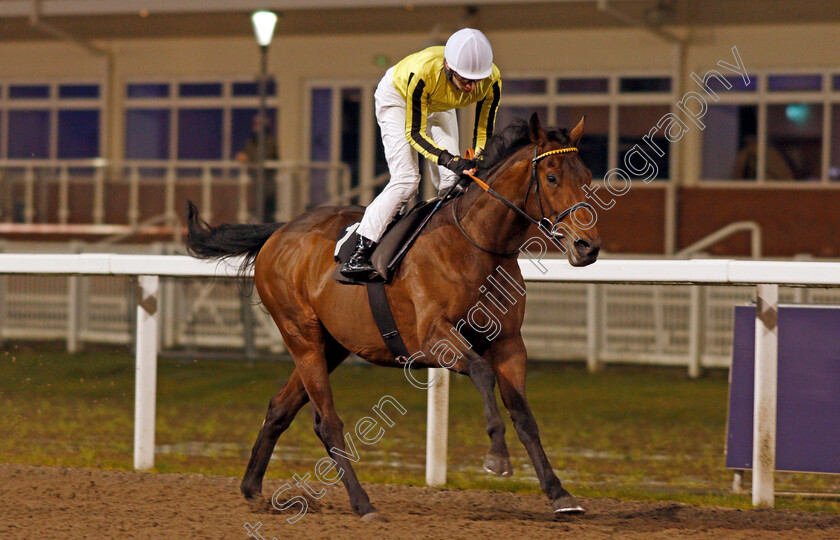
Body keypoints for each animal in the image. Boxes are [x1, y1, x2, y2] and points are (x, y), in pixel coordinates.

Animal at [187, 113, 600, 520]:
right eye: (551, 177)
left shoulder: (510, 343)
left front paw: (560, 493)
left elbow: (524, 415)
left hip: (331, 344)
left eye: (586, 176)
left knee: (280, 408)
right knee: (328, 421)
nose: (587, 246)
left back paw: (252, 487)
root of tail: (280, 231)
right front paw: (497, 456)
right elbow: (482, 372)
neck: (475, 244)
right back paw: (362, 503)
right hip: (301, 336)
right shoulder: (434, 339)